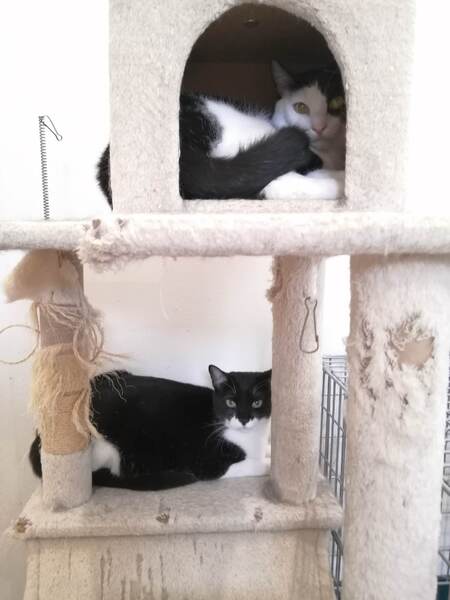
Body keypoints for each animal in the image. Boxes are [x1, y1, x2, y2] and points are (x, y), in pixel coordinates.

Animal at [29, 365, 271, 491]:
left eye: (257, 403)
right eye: (230, 403)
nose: (244, 419)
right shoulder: (207, 463)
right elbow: (254, 465)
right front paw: (268, 463)